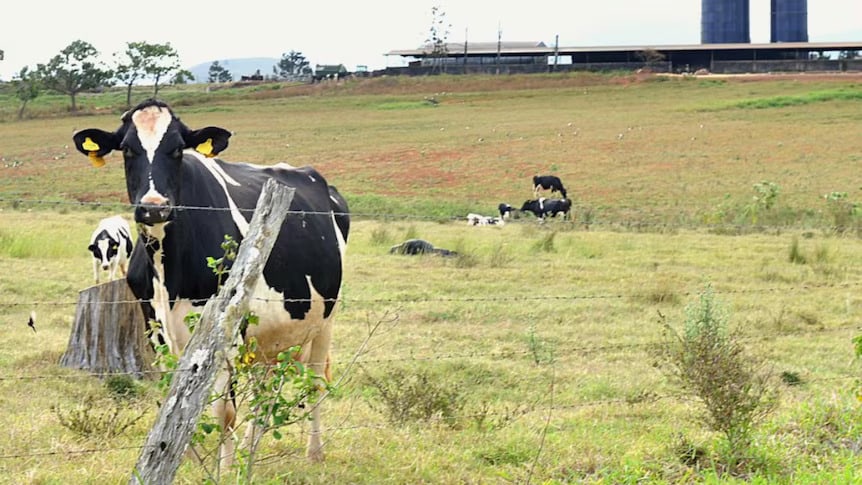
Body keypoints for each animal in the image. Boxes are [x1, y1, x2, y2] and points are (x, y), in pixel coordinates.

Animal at [73, 97, 352, 462]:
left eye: (178, 149)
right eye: (127, 149)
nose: (154, 208)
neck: (168, 274)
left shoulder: (225, 328)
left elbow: (224, 412)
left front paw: (223, 467)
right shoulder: (154, 326)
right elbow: (171, 398)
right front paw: (179, 457)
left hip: (325, 320)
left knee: (316, 380)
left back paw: (314, 451)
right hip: (272, 332)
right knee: (264, 387)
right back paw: (250, 447)